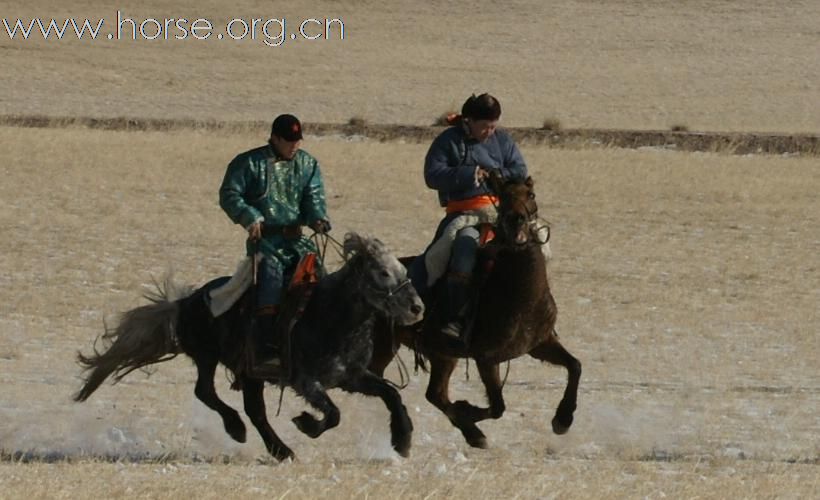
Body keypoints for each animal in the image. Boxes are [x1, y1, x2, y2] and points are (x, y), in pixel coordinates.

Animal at [73, 234, 426, 460]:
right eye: (383, 272)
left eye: (403, 270)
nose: (417, 308)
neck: (330, 314)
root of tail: (185, 303)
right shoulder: (306, 381)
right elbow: (334, 414)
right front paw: (306, 423)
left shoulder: (352, 377)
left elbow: (391, 394)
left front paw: (403, 441)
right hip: (208, 357)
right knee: (206, 392)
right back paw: (238, 430)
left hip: (250, 374)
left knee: (254, 411)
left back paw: (279, 450)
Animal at [368, 175, 580, 450]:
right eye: (503, 196)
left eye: (531, 194)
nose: (517, 219)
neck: (522, 294)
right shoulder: (486, 358)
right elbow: (498, 406)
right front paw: (467, 409)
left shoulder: (540, 344)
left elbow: (575, 366)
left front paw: (563, 419)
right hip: (385, 345)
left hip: (441, 354)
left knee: (435, 394)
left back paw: (472, 433)